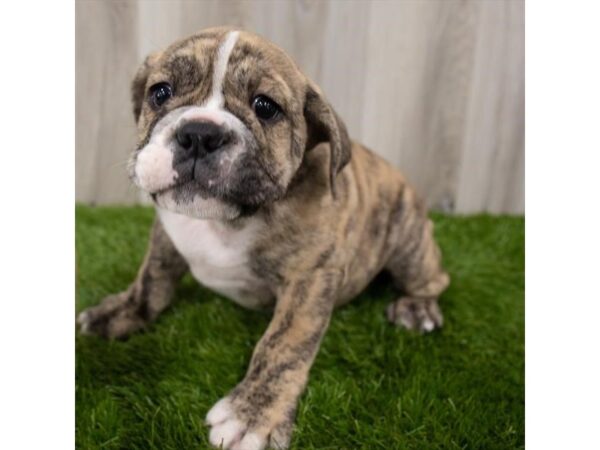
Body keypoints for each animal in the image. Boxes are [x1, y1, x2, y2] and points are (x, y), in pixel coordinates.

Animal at [76, 28, 450, 450]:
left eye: (265, 107)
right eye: (160, 92)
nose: (199, 133)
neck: (228, 221)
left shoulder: (311, 279)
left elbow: (282, 345)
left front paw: (251, 415)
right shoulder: (165, 237)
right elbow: (151, 279)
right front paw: (120, 313)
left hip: (409, 242)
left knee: (432, 278)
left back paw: (417, 309)